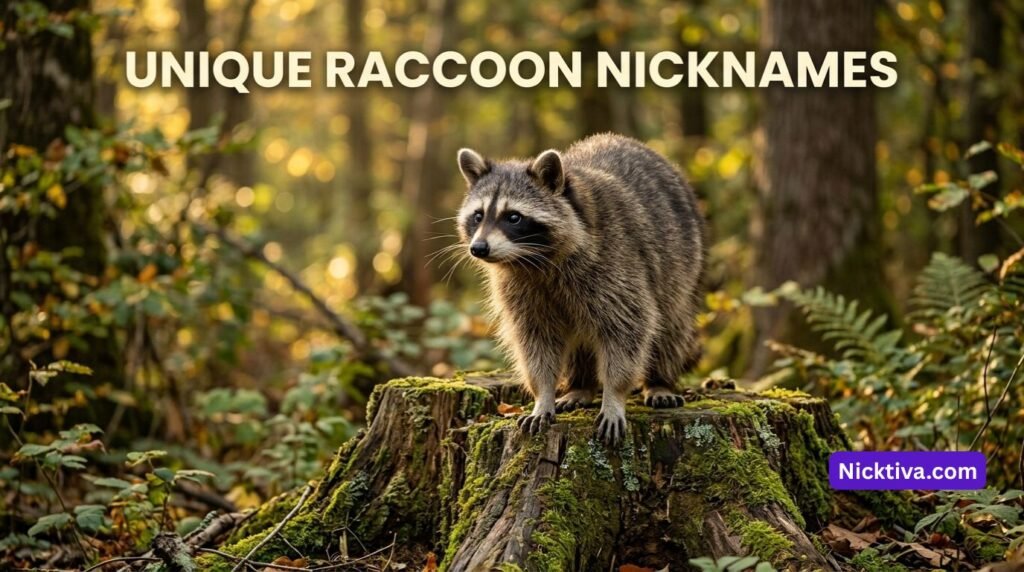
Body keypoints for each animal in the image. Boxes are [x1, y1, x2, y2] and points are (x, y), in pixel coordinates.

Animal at [455, 133, 705, 445]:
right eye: (478, 216)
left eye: (513, 217)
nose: (478, 248)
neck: (534, 260)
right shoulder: (519, 289)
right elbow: (534, 341)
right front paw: (543, 395)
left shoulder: (616, 264)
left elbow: (628, 329)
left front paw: (614, 395)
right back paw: (580, 386)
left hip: (682, 267)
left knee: (670, 327)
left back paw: (660, 382)